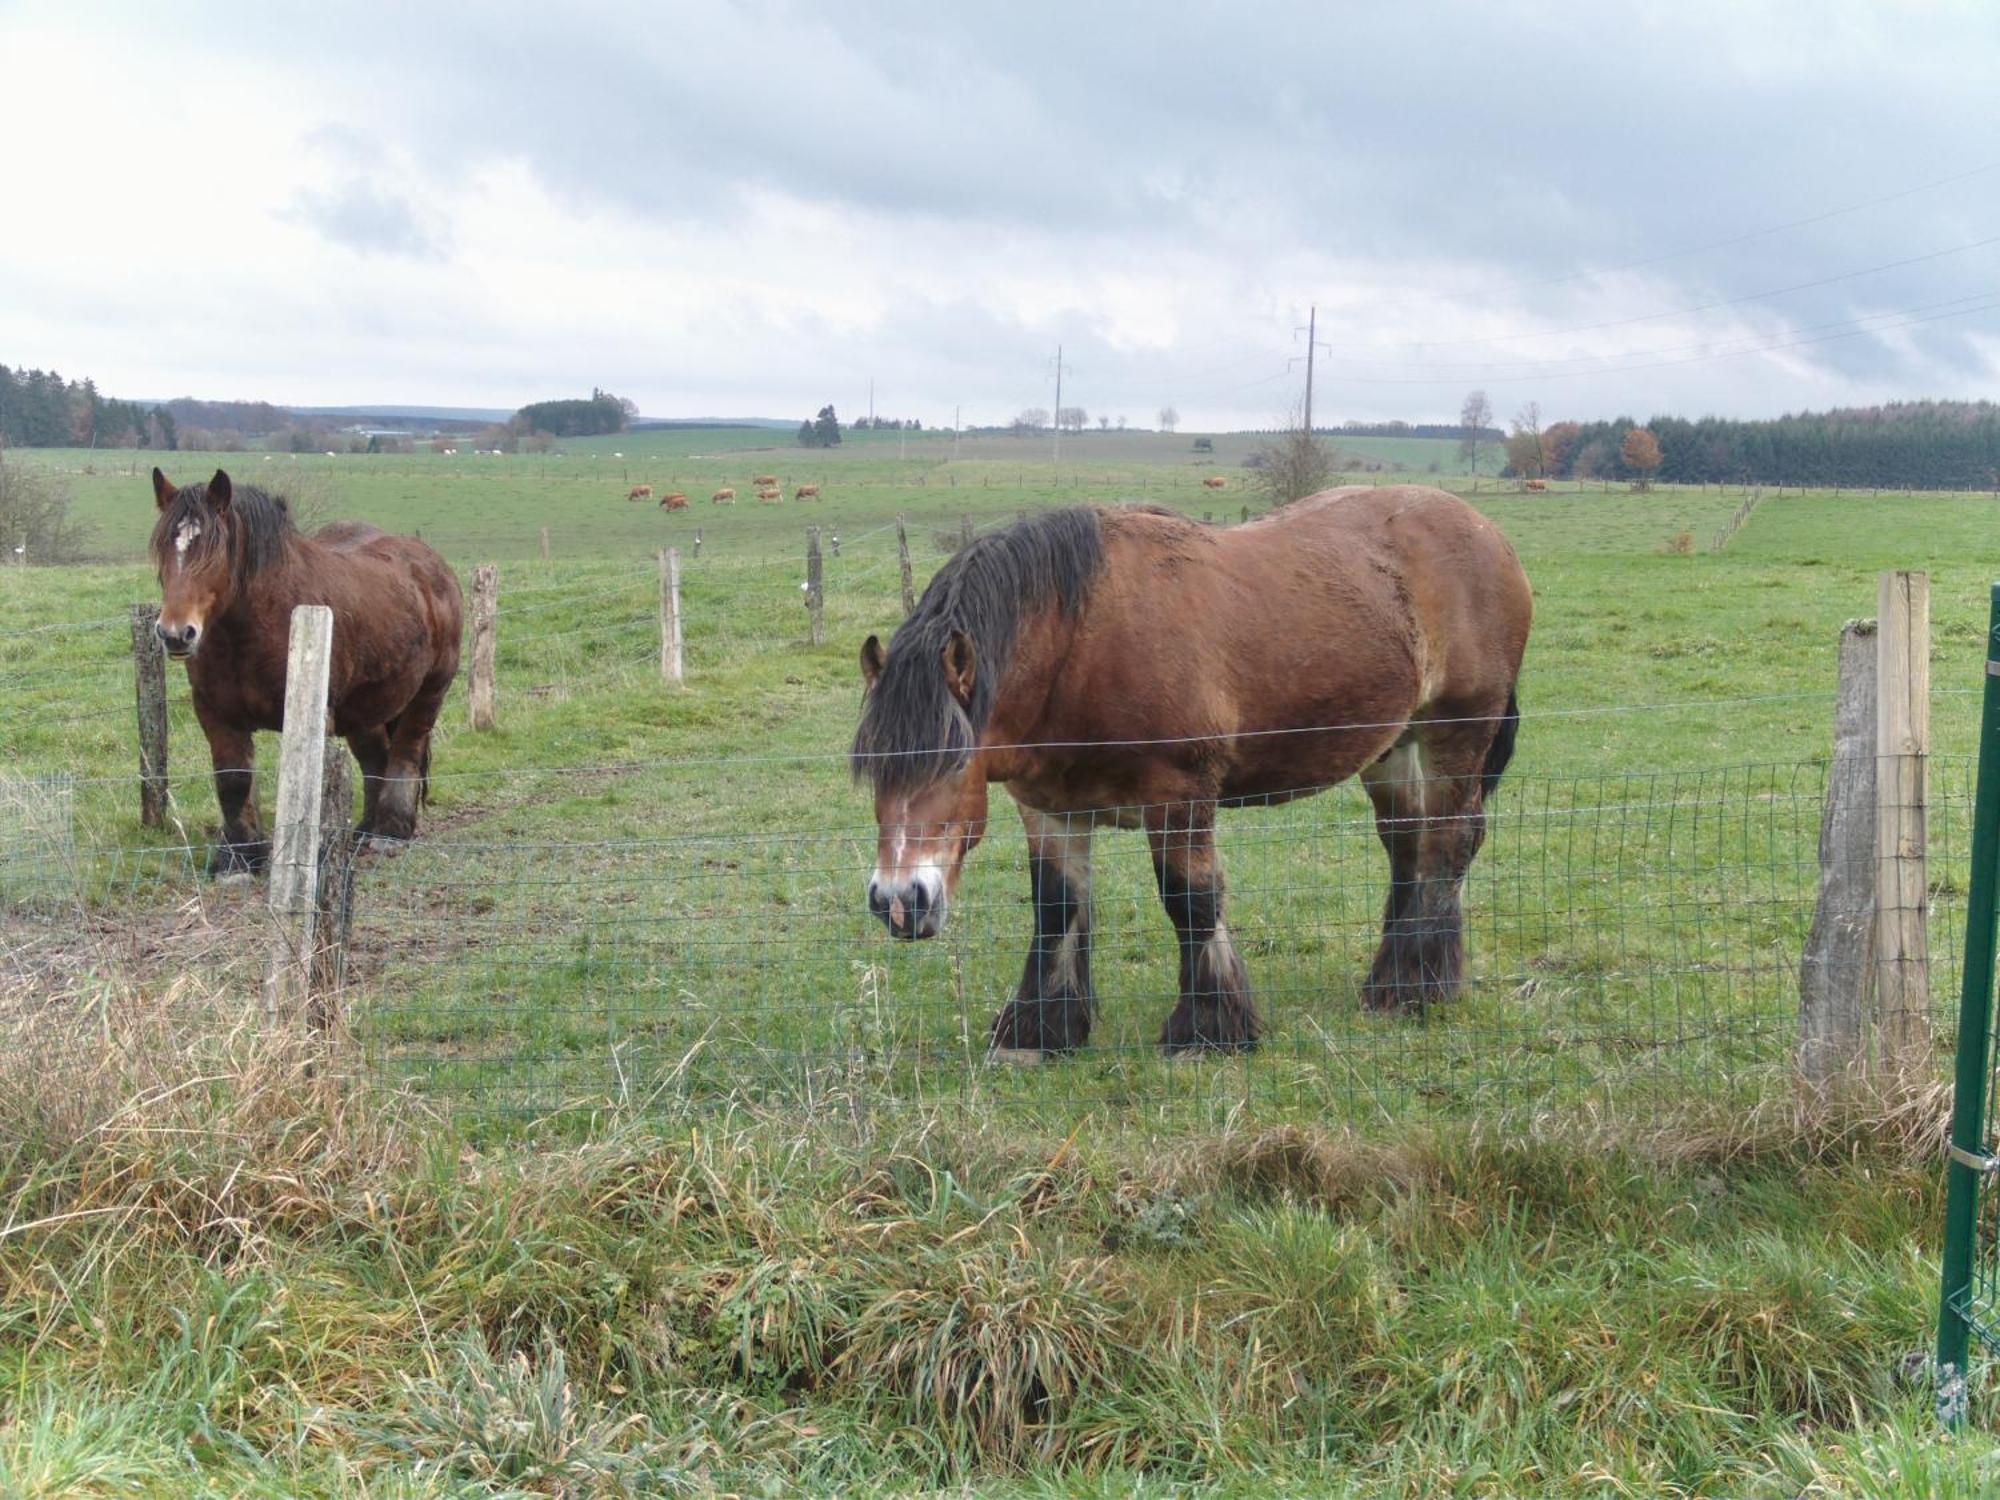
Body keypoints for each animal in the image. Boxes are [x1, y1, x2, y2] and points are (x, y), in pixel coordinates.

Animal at [150, 468, 462, 868]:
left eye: (214, 552)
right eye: (162, 548)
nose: (176, 633)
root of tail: (432, 565)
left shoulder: (314, 717)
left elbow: (311, 785)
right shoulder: (216, 714)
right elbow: (233, 780)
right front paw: (240, 857)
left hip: (428, 694)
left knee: (405, 753)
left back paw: (390, 833)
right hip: (365, 709)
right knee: (375, 758)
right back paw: (364, 830)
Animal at [856, 488, 1528, 1064]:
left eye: (952, 761)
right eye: (870, 772)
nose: (898, 903)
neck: (1080, 644)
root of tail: (1488, 533)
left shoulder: (1179, 797)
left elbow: (1190, 901)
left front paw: (1208, 1030)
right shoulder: (1049, 807)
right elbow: (1056, 905)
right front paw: (1039, 1031)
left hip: (1456, 733)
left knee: (1447, 843)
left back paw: (1419, 987)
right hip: (1393, 747)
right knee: (1407, 845)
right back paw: (1390, 980)